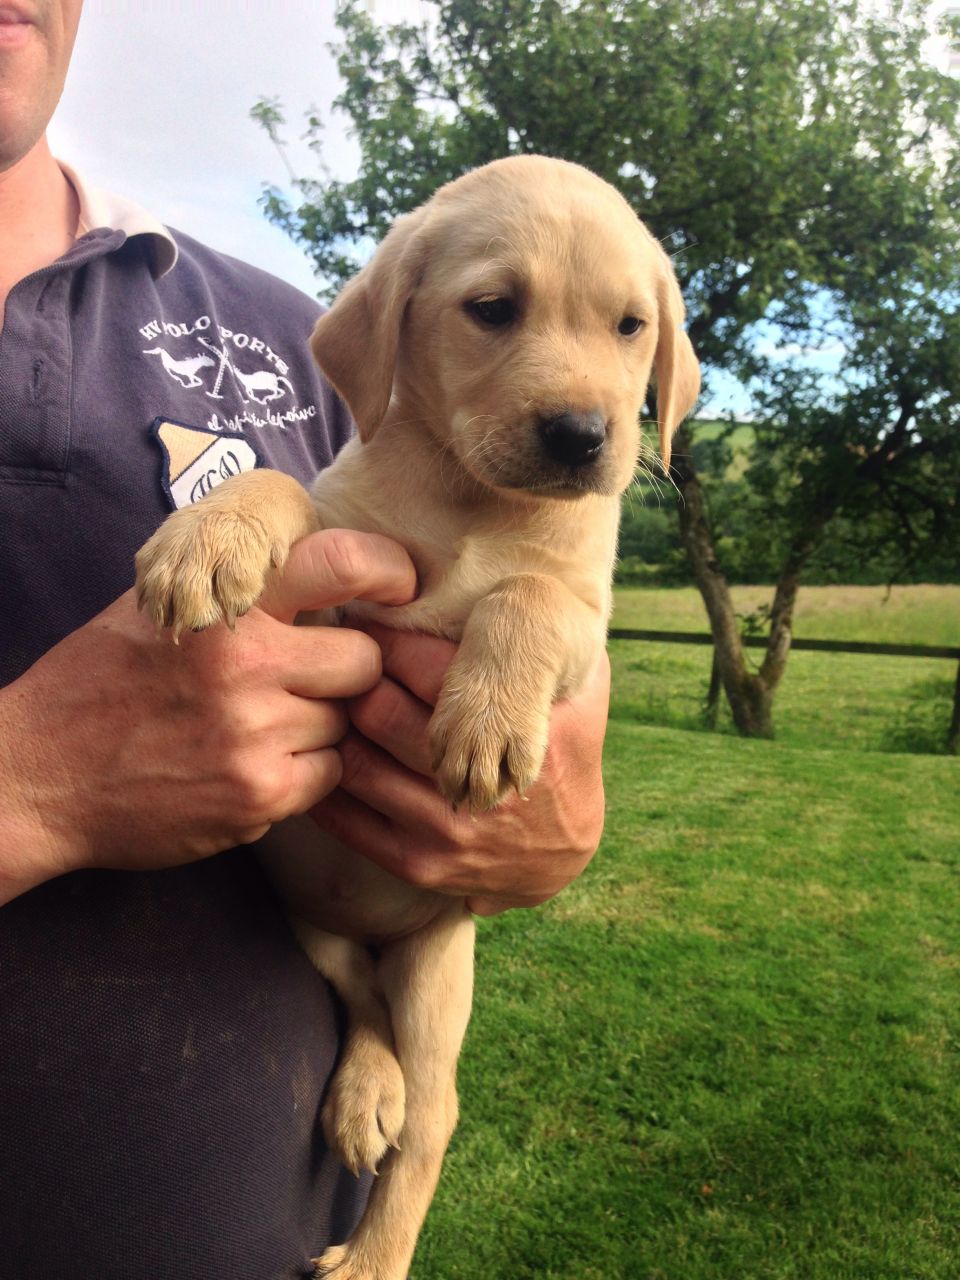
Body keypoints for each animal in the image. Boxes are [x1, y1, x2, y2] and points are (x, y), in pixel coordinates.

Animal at [135, 154, 701, 1274]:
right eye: (493, 309)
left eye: (630, 327)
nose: (584, 436)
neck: (474, 498)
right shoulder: (339, 570)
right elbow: (282, 487)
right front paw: (207, 538)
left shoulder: (585, 622)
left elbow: (523, 596)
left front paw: (484, 723)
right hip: (313, 924)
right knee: (362, 1010)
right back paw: (364, 1093)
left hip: (443, 969)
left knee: (435, 1117)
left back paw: (375, 1251)